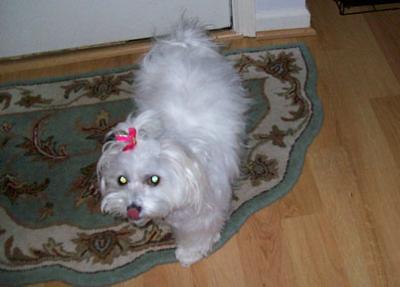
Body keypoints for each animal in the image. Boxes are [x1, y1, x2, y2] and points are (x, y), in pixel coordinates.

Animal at [96, 20, 247, 268]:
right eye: (121, 180)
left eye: (154, 179)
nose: (133, 210)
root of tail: (184, 44)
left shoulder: (206, 209)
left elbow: (198, 232)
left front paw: (189, 253)